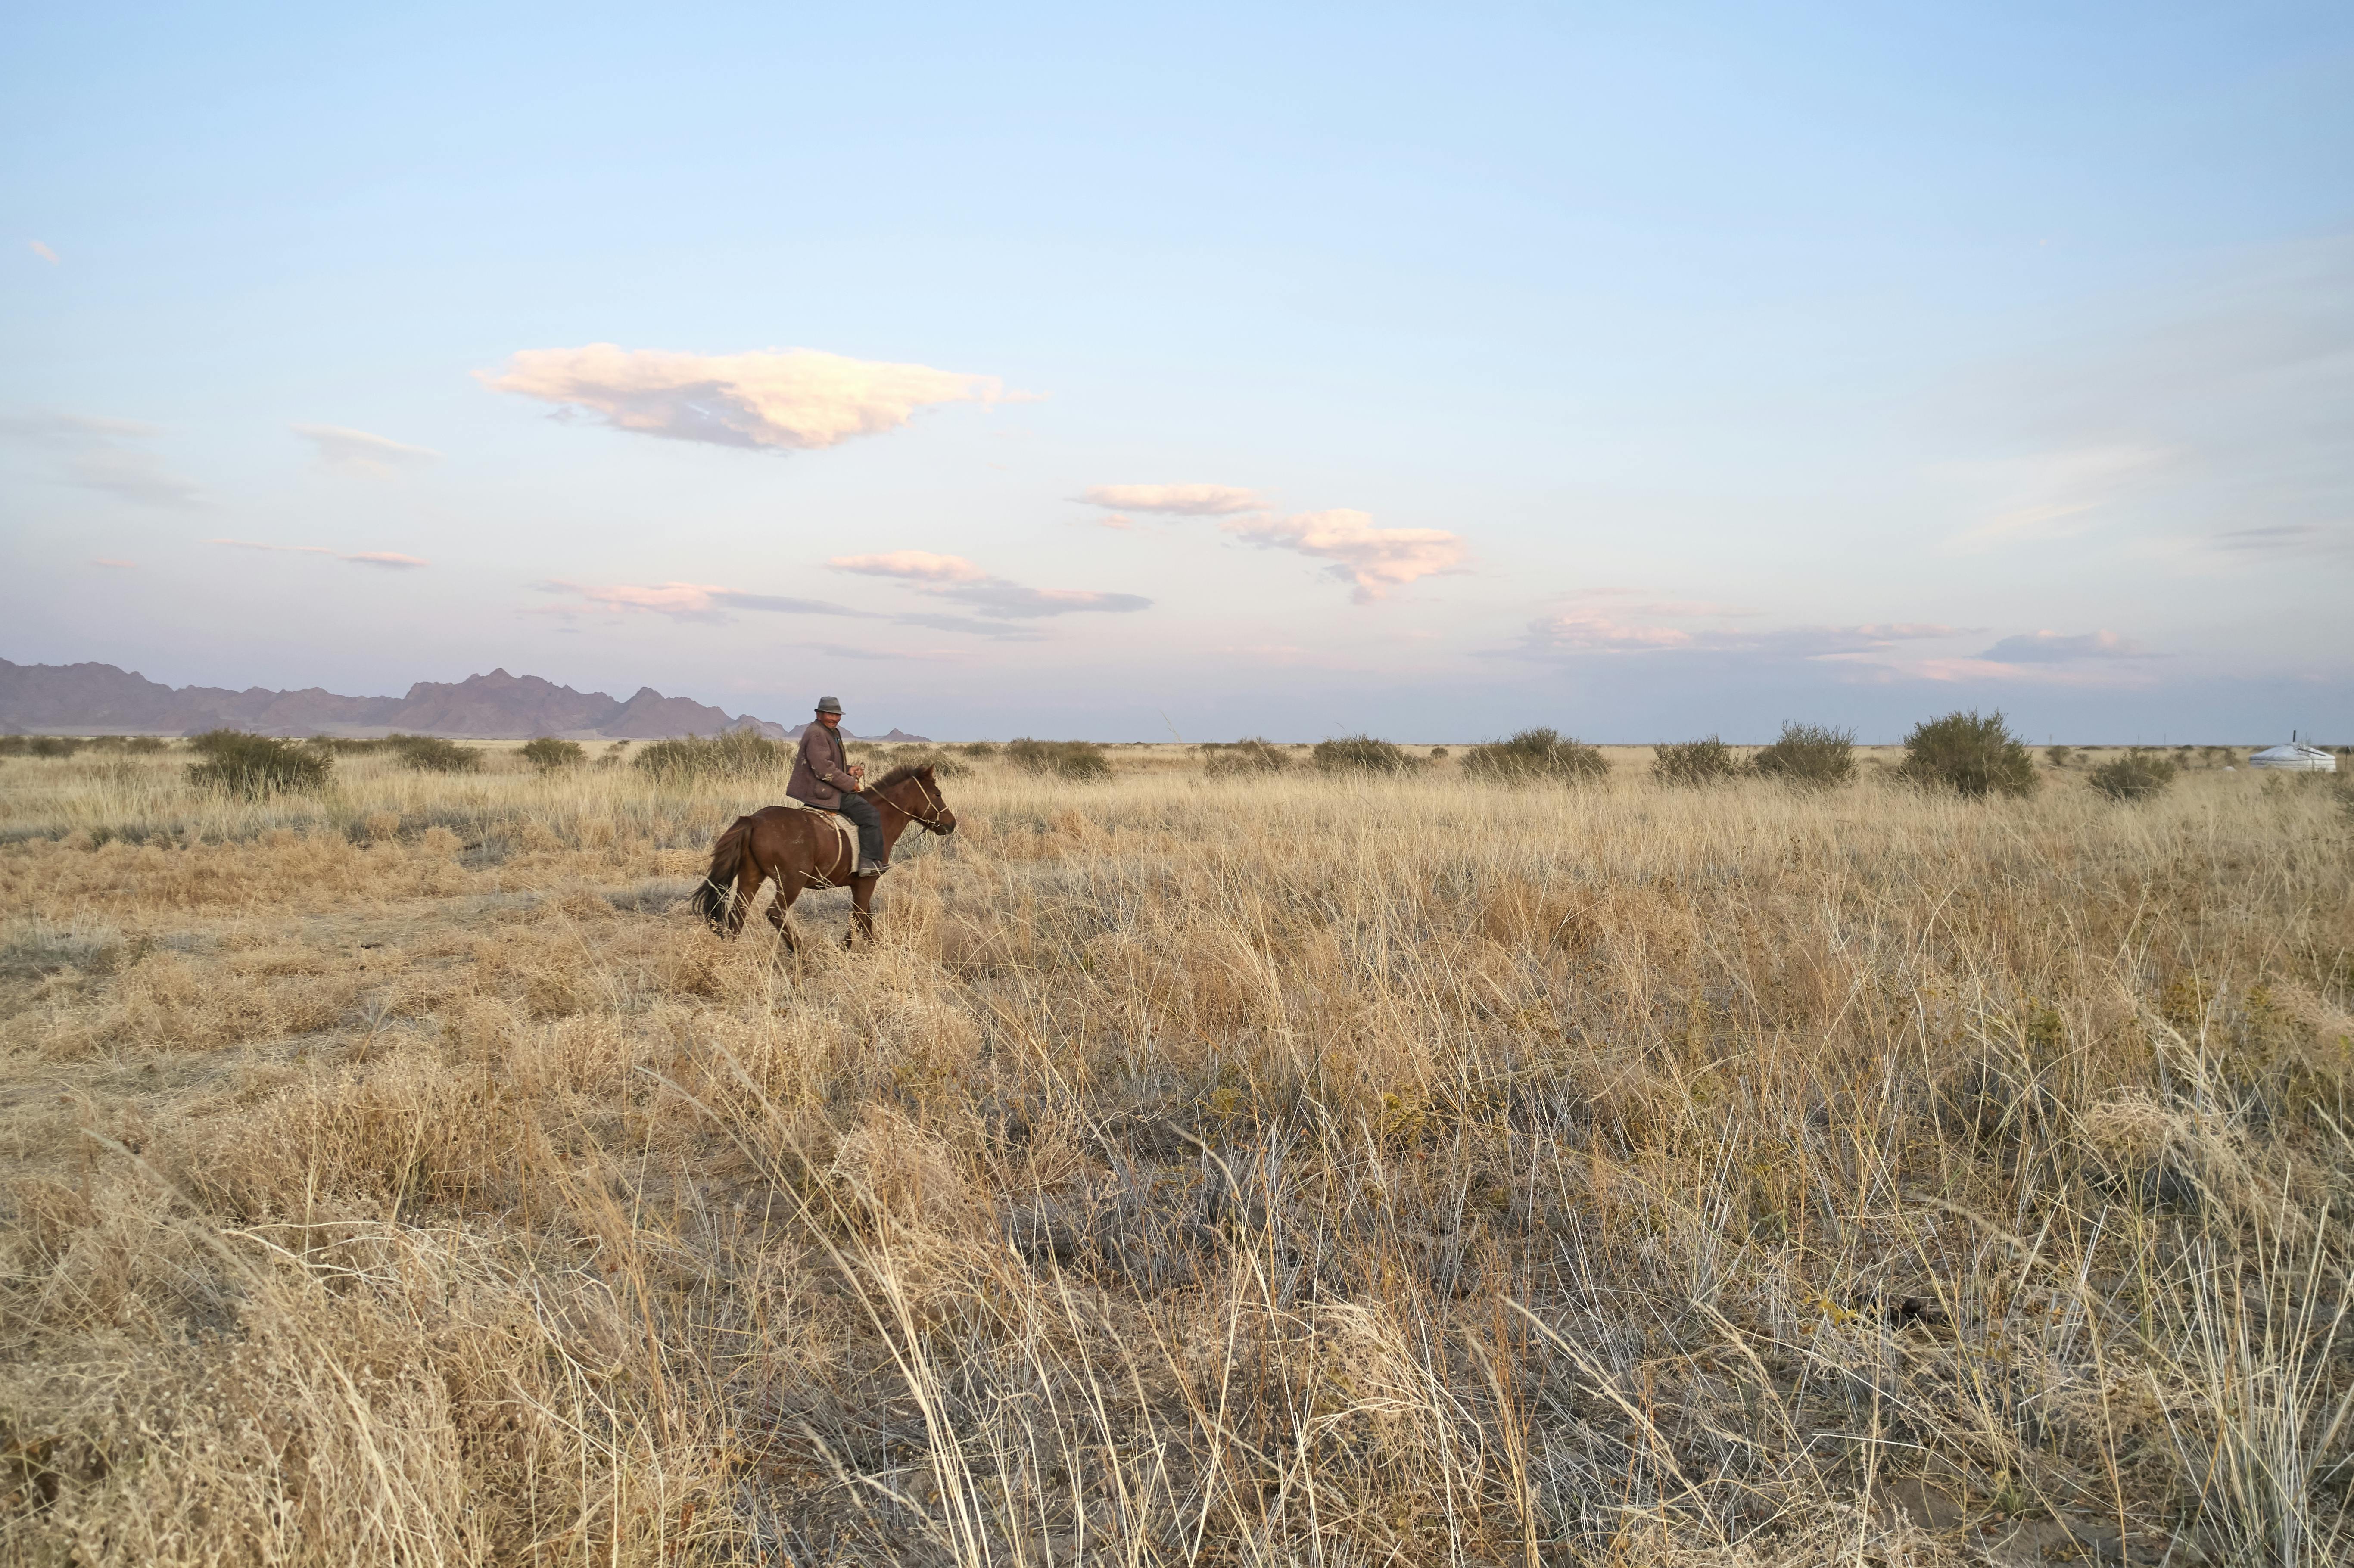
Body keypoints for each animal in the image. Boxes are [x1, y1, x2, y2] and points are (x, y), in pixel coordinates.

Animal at [687, 758, 956, 942]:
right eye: (937, 794)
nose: (951, 824)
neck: (881, 818)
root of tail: (753, 820)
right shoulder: (867, 882)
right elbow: (859, 919)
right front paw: (848, 949)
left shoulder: (859, 885)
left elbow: (865, 920)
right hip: (791, 882)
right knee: (775, 913)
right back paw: (800, 954)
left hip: (751, 877)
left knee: (737, 916)